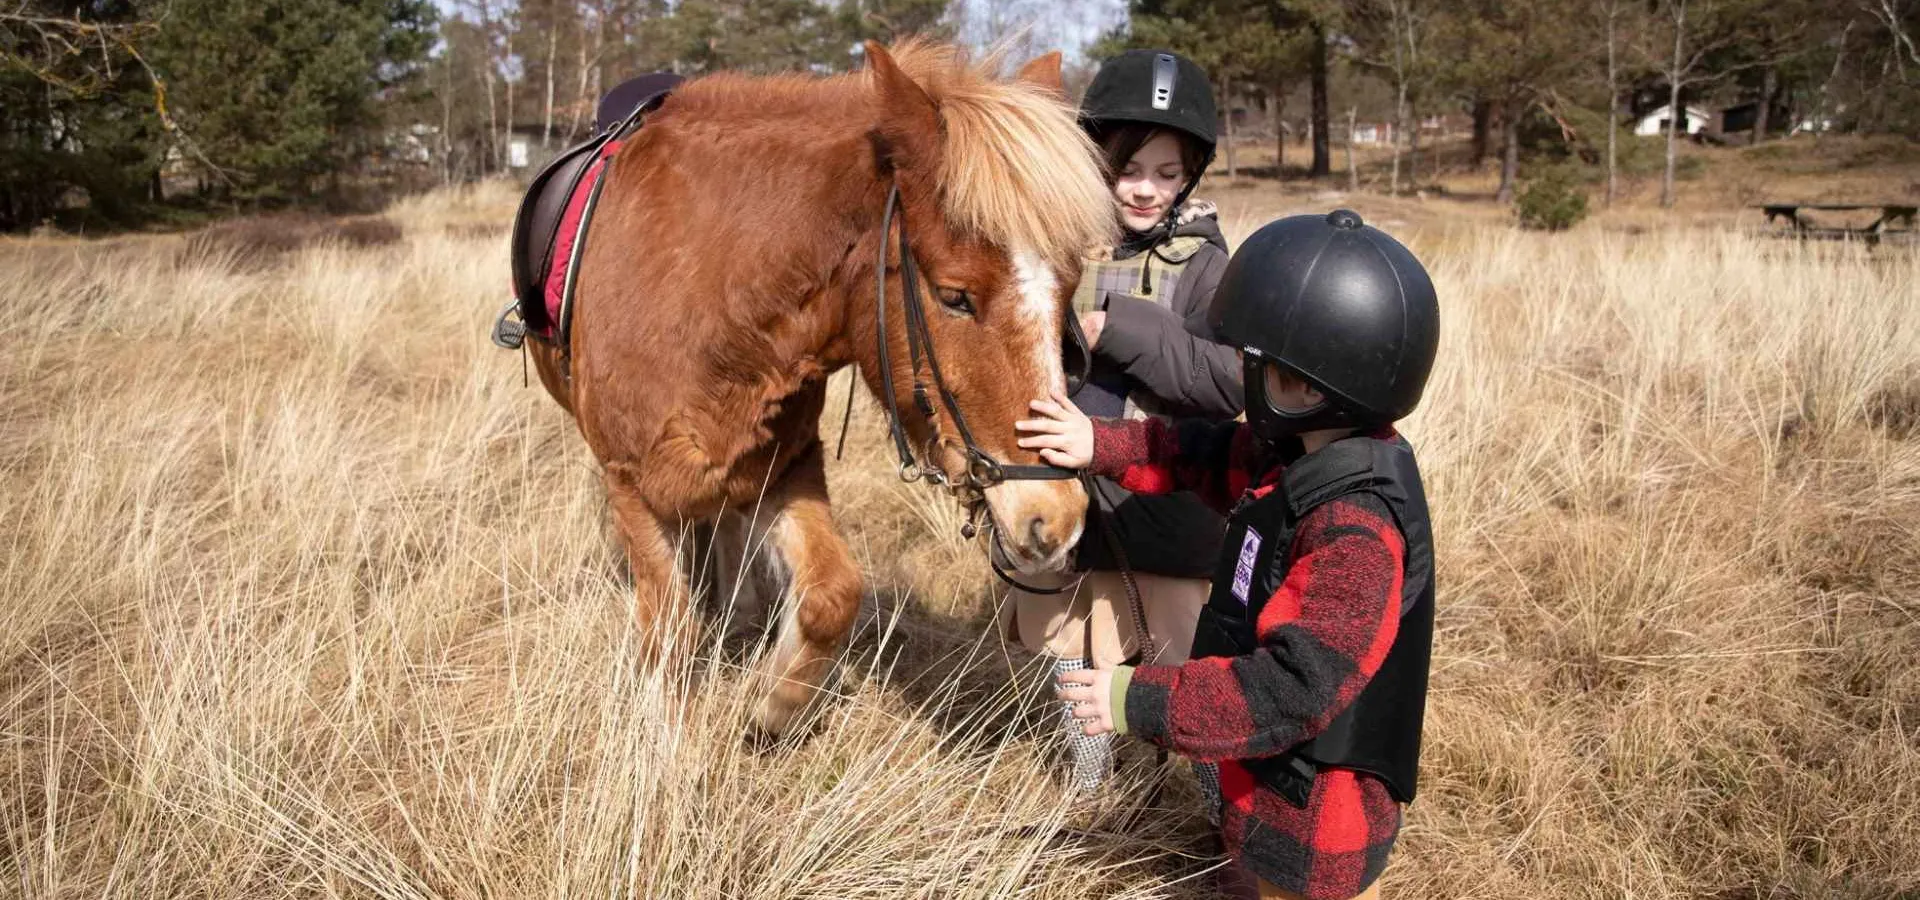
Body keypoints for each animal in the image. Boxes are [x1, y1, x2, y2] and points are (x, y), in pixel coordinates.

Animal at [526, 38, 1121, 733]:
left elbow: (834, 592)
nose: (1057, 519)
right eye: (954, 296)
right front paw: (663, 734)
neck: (698, 289)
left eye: (1069, 287)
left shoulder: (783, 465)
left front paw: (776, 704)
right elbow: (670, 627)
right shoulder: (628, 483)